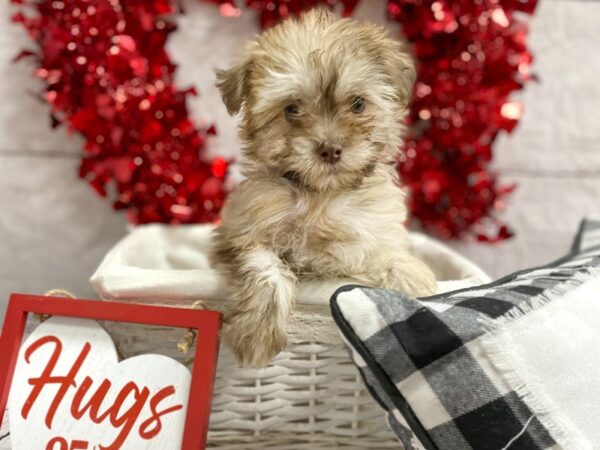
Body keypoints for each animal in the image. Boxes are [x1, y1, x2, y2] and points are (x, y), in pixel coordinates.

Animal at [211, 8, 436, 368]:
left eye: (358, 104)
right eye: (291, 109)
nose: (329, 149)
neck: (321, 196)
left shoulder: (372, 242)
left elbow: (397, 263)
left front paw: (419, 297)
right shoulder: (239, 233)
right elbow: (264, 266)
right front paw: (257, 335)